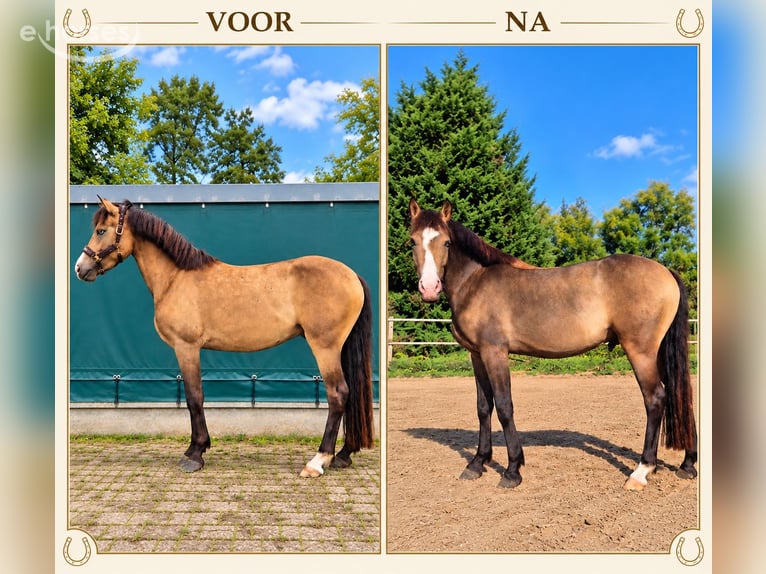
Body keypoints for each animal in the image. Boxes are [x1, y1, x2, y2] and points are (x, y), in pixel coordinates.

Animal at [74, 197, 375, 477]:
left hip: (324, 347)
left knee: (338, 394)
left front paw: (195, 453)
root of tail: (352, 275)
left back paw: (318, 461)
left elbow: (194, 397)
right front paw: (197, 449)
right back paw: (343, 455)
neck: (176, 278)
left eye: (101, 231)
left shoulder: (186, 347)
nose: (80, 268)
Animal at [408, 199, 697, 491]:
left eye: (446, 242)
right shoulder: (477, 355)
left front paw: (512, 470)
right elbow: (483, 408)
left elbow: (504, 406)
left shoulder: (495, 353)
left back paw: (641, 471)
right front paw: (477, 463)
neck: (475, 281)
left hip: (640, 351)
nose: (429, 288)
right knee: (679, 395)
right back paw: (687, 465)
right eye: (412, 241)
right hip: (658, 354)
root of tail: (666, 271)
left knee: (655, 399)